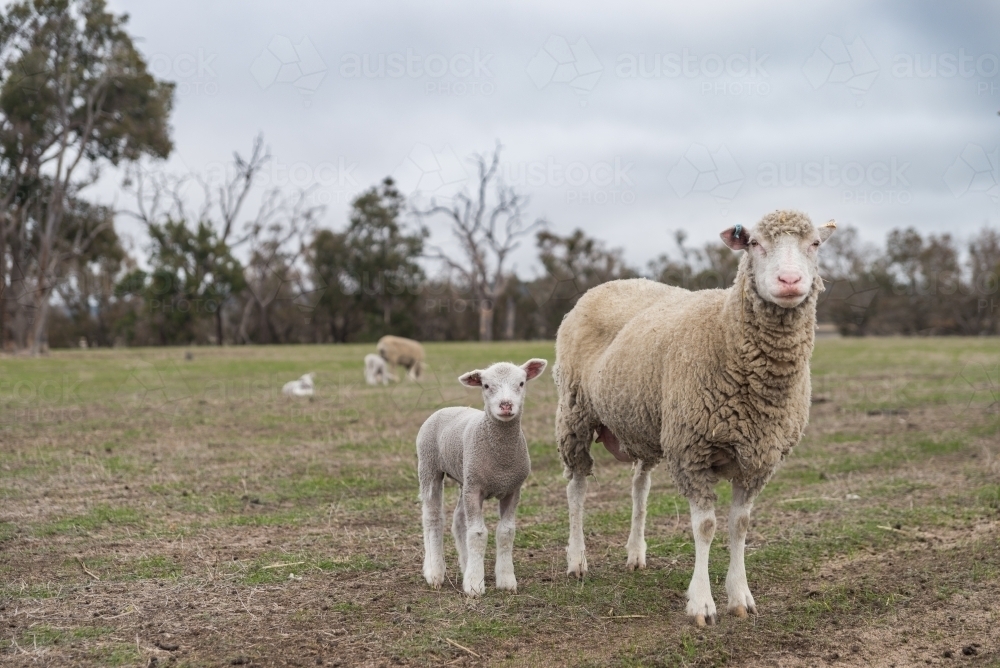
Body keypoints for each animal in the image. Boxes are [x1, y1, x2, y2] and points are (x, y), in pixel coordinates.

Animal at [418, 358, 552, 596]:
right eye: (486, 385)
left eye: (521, 383)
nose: (506, 405)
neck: (501, 460)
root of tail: (446, 408)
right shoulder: (476, 489)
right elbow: (478, 534)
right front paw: (474, 585)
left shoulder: (511, 489)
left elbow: (506, 532)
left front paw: (506, 580)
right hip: (429, 466)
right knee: (432, 518)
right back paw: (434, 572)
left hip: (465, 478)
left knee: (458, 521)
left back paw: (464, 565)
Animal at [556, 210, 836, 628]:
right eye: (754, 243)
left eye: (815, 243)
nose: (789, 281)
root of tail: (615, 282)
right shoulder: (692, 450)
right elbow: (705, 527)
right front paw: (701, 604)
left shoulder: (758, 459)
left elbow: (740, 525)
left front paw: (740, 596)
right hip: (574, 413)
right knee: (576, 487)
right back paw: (577, 560)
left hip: (646, 422)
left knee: (639, 485)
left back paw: (635, 553)